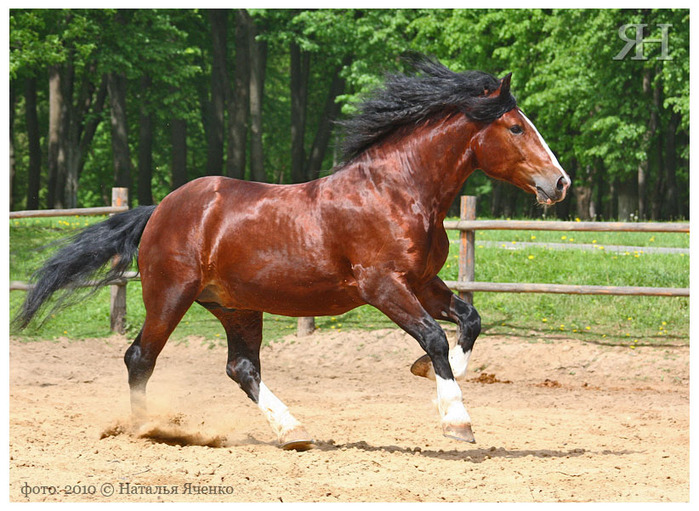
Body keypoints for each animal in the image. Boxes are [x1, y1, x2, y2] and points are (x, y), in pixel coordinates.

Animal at [15, 57, 568, 452]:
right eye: (516, 128)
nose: (559, 183)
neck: (396, 192)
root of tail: (161, 209)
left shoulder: (423, 282)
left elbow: (470, 321)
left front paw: (429, 371)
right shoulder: (382, 285)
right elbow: (432, 335)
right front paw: (457, 421)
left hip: (236, 306)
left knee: (242, 368)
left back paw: (293, 431)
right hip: (170, 295)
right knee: (140, 357)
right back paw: (146, 430)